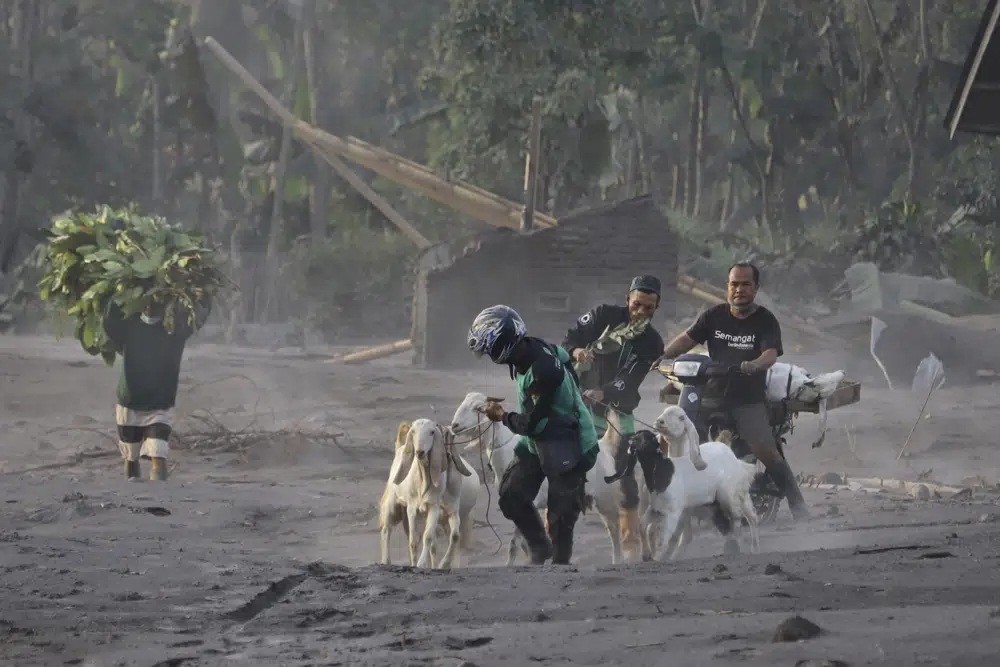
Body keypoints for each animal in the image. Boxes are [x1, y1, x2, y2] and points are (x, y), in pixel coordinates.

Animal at [378, 418, 480, 568]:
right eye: (413, 432)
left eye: (432, 432)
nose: (420, 452)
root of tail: (400, 448)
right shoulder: (412, 508)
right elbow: (414, 541)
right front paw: (417, 564)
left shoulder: (441, 509)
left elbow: (439, 537)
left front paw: (437, 564)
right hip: (393, 504)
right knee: (387, 529)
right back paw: (386, 561)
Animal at [636, 404, 760, 560]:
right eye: (664, 412)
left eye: (681, 417)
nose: (660, 422)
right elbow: (654, 530)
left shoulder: (681, 510)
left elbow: (676, 536)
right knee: (748, 517)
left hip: (730, 495)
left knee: (743, 518)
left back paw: (745, 547)